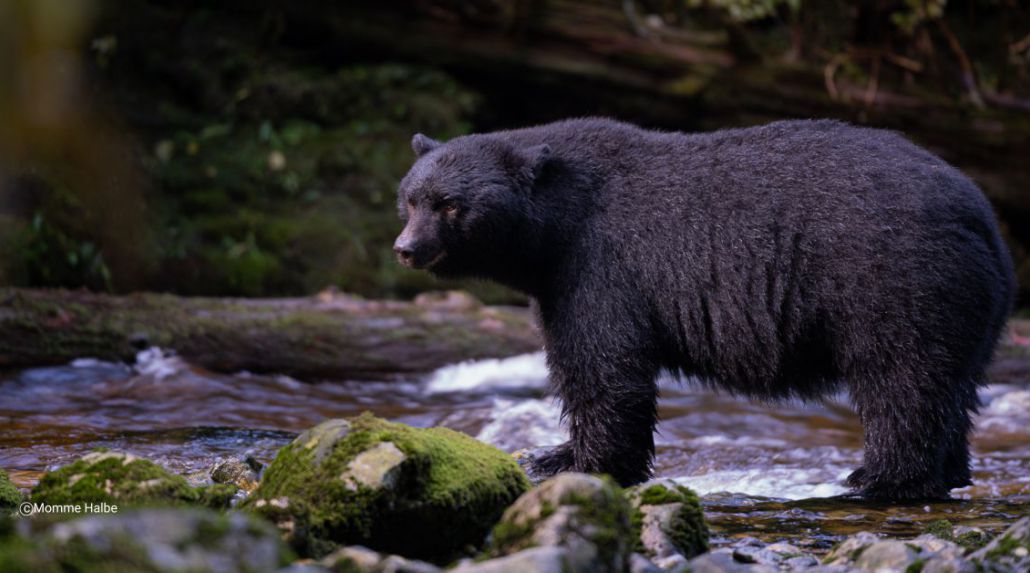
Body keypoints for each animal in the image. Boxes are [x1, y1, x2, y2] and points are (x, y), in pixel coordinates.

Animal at [393, 118, 1015, 500]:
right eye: (411, 198)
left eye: (451, 204)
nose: (406, 248)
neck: (557, 225)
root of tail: (981, 212)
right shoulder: (559, 278)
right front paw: (553, 454)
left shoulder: (600, 267)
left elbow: (604, 368)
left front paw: (580, 461)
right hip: (969, 305)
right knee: (952, 387)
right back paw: (950, 473)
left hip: (895, 281)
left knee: (902, 379)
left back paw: (876, 477)